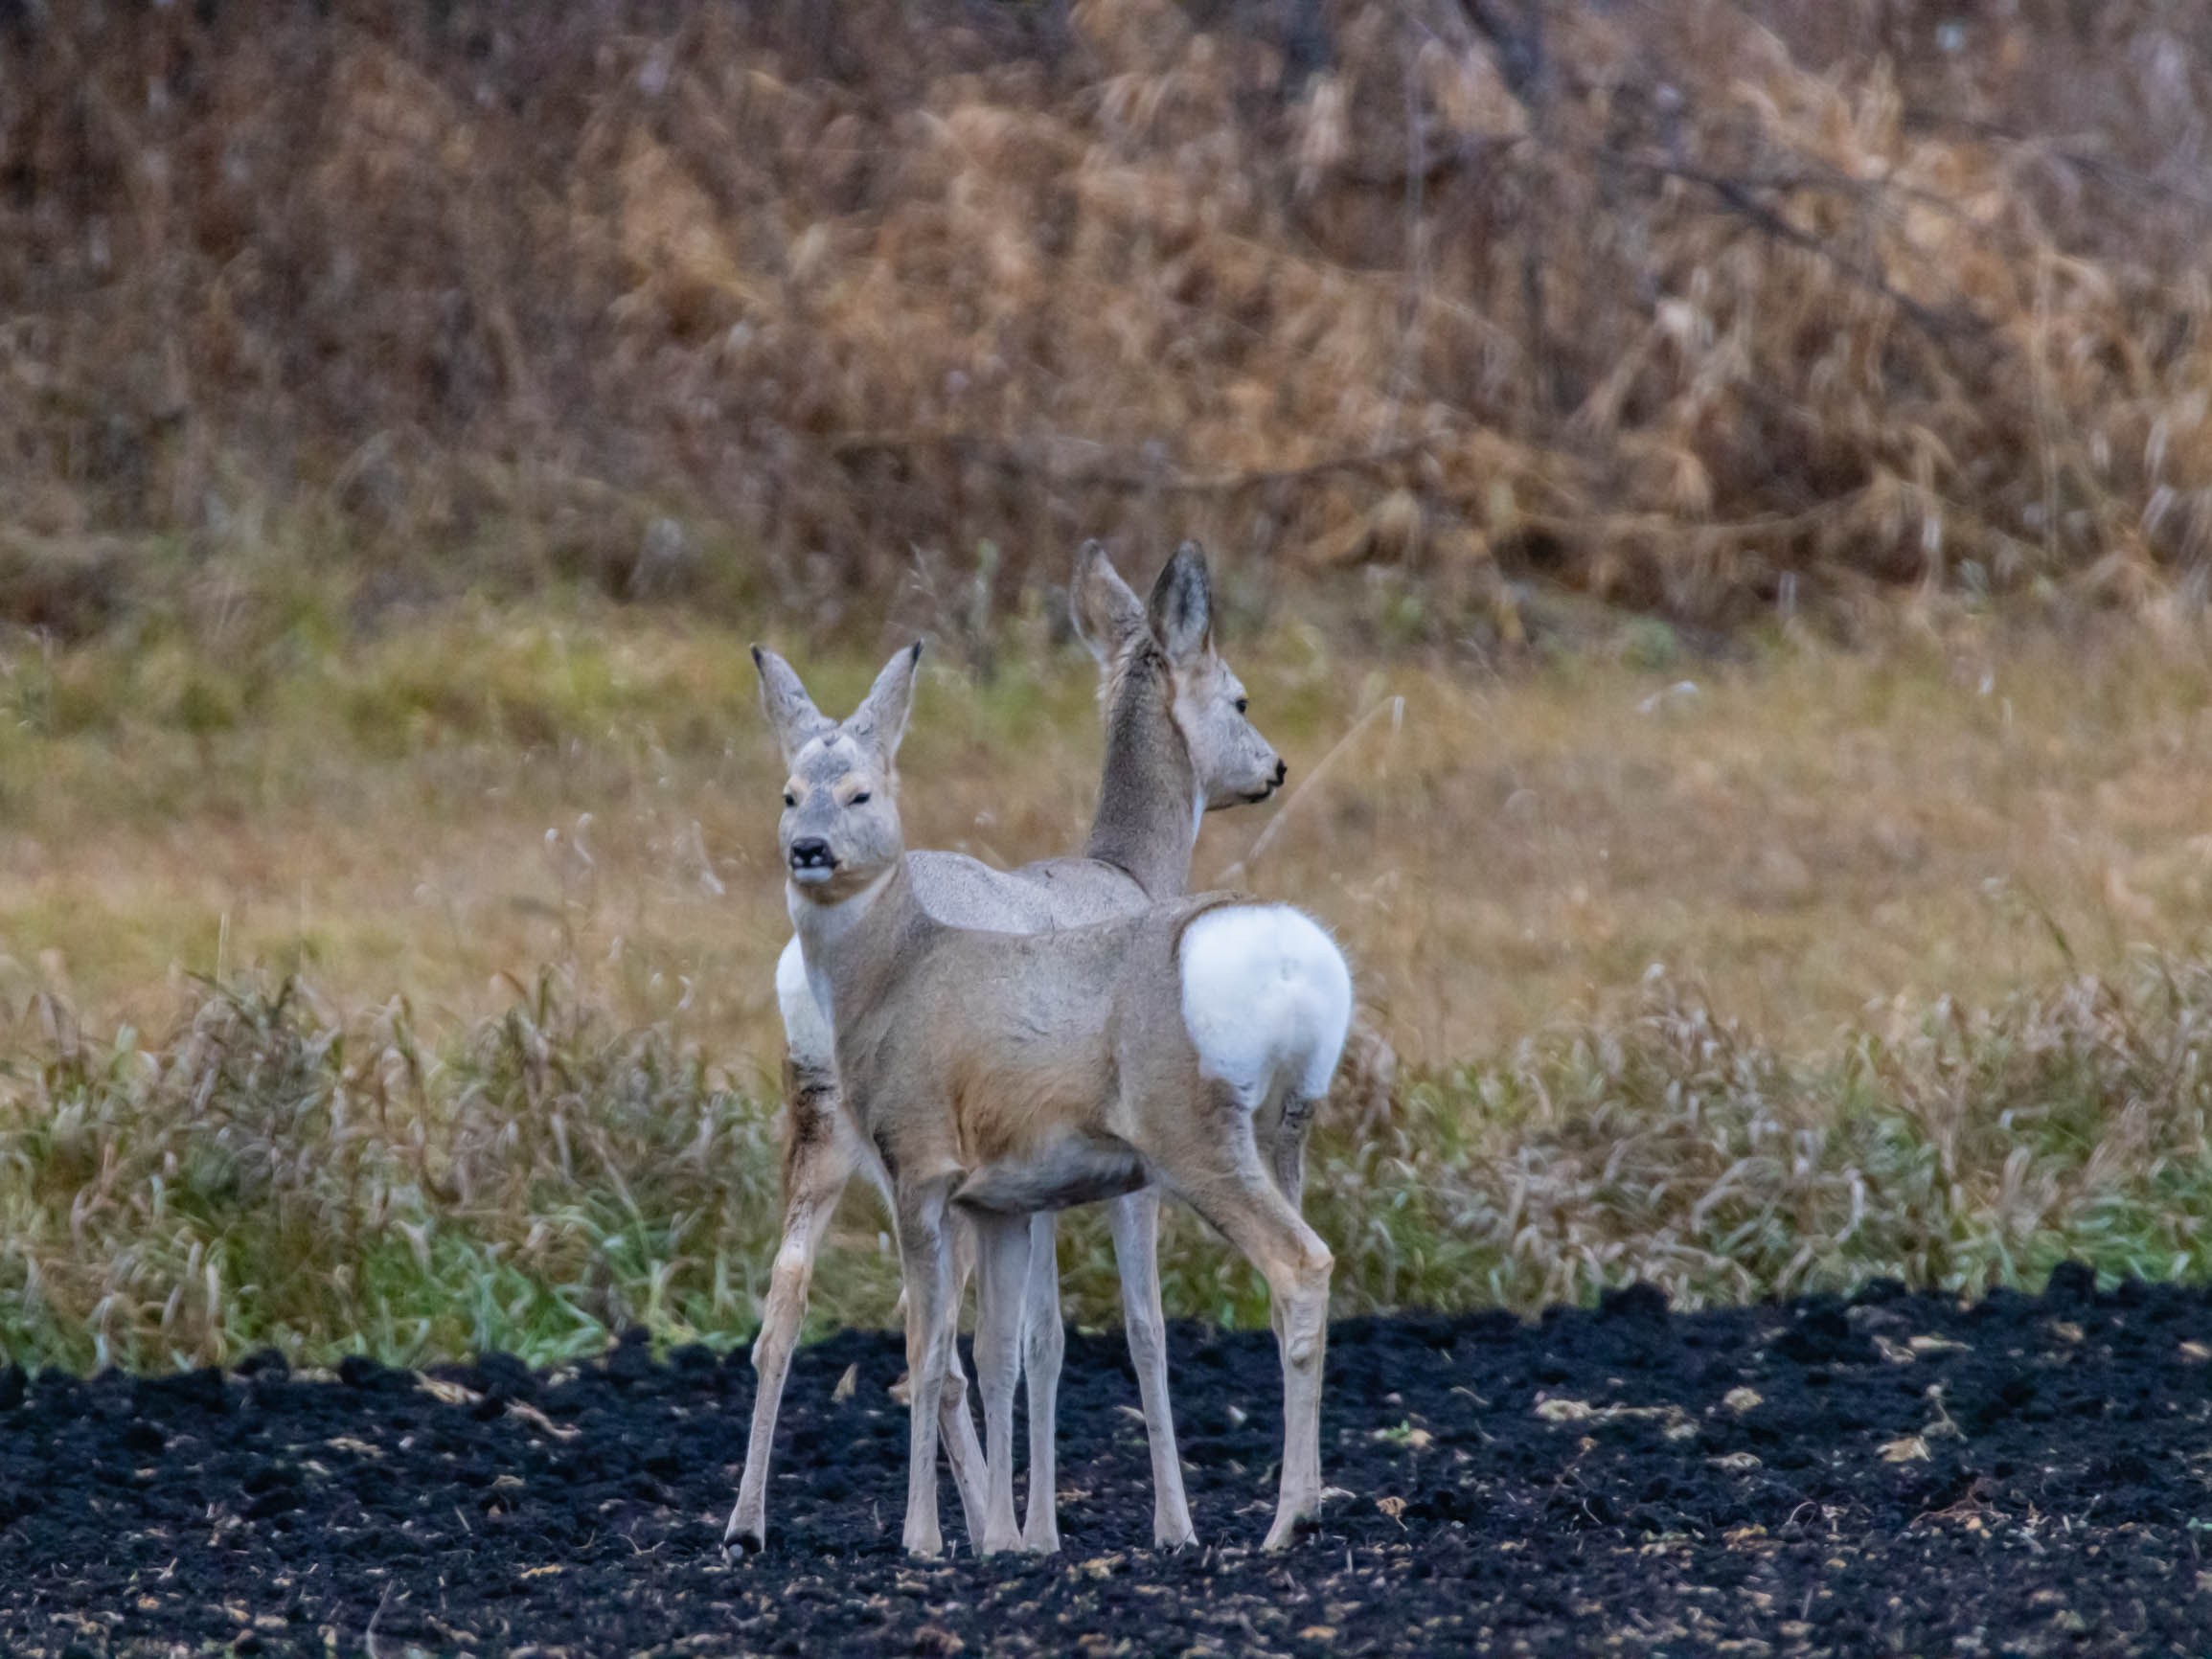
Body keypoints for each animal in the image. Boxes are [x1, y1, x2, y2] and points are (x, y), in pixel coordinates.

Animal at [725, 541, 1283, 1557]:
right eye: (1238, 696)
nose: (1273, 767)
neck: (1125, 872)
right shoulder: (1111, 1168)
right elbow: (1119, 1329)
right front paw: (1155, 1525)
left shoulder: (1025, 1177)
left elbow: (1032, 1337)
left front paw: (1031, 1524)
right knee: (932, 1335)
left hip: (823, 1121)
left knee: (790, 1303)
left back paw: (749, 1526)